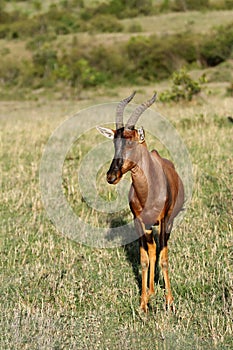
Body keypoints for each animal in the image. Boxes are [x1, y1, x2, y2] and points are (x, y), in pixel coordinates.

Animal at [96, 92, 184, 312]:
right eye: (115, 142)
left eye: (131, 142)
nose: (111, 176)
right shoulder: (138, 222)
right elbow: (144, 259)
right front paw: (143, 303)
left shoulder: (164, 221)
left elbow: (164, 258)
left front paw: (170, 301)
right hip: (149, 227)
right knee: (151, 250)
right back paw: (151, 291)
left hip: (167, 223)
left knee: (159, 251)